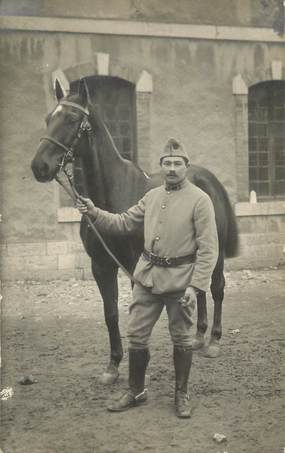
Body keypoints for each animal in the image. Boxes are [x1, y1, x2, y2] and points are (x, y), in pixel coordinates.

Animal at [31, 79, 237, 384]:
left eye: (71, 119)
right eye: (48, 118)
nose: (39, 166)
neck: (112, 194)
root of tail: (208, 179)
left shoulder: (133, 265)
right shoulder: (101, 266)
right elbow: (111, 314)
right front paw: (113, 365)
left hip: (217, 250)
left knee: (216, 288)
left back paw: (213, 341)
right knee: (197, 291)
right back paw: (198, 337)